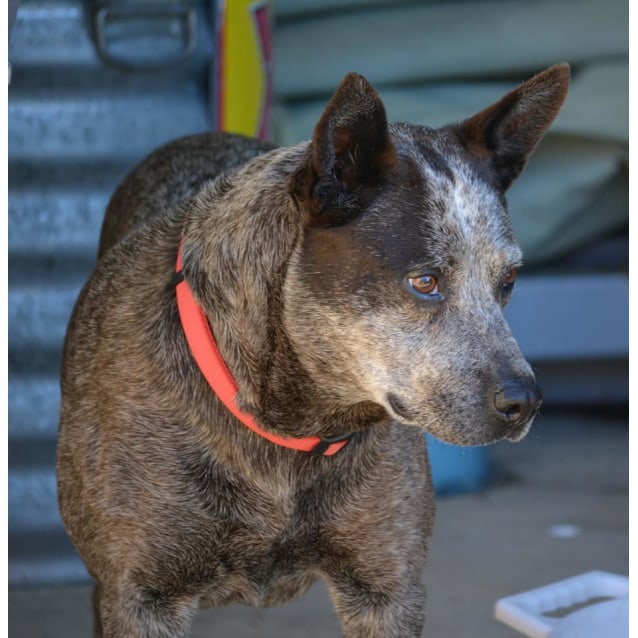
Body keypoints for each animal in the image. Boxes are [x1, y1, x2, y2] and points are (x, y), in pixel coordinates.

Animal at [58, 62, 568, 636]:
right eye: (425, 281)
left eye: (508, 281)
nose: (525, 402)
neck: (293, 426)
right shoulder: (140, 598)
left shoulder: (388, 589)